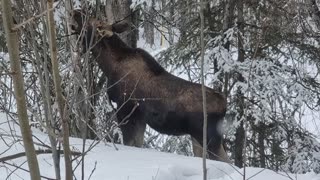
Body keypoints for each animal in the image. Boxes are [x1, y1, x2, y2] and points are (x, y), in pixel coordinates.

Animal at [72, 11, 230, 163]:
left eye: (94, 23)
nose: (76, 11)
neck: (109, 66)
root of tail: (224, 104)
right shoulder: (140, 119)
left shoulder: (125, 110)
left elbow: (129, 143)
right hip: (198, 137)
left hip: (209, 137)